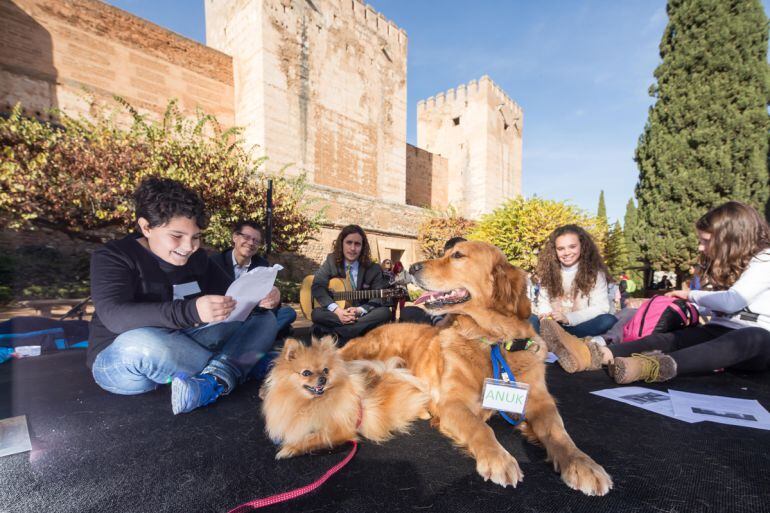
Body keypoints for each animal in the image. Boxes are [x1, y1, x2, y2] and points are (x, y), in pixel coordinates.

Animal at [260, 338, 428, 458]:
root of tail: (391, 373)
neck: (309, 403)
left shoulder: (338, 430)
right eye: (306, 373)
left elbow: (312, 438)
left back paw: (425, 414)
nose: (323, 379)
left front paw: (289, 448)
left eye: (326, 370)